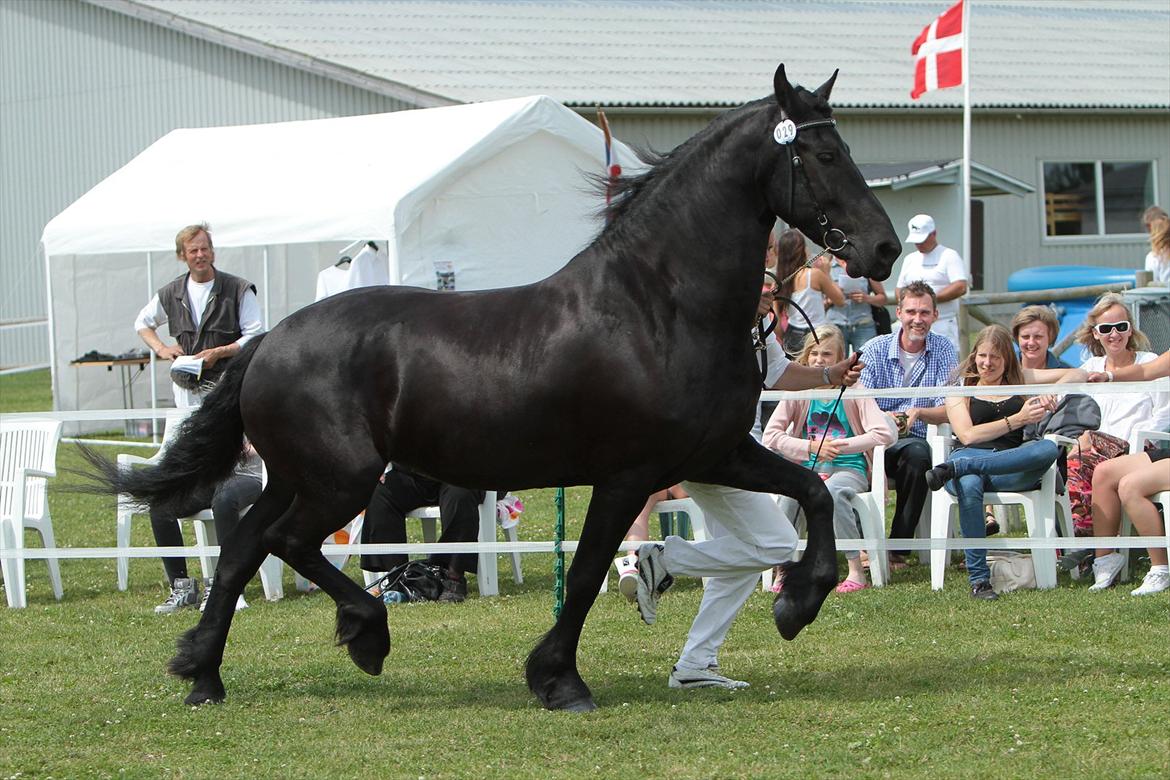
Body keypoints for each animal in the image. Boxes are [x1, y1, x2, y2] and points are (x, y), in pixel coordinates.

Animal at [93, 65, 893, 715]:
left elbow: (814, 493)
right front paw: (558, 680)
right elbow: (589, 569)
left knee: (241, 549)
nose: (882, 248)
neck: (657, 306)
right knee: (286, 542)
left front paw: (797, 604)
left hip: (295, 476)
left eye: (848, 149)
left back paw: (204, 675)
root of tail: (267, 341)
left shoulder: (715, 454)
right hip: (338, 481)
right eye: (824, 154)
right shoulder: (628, 475)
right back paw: (365, 635)